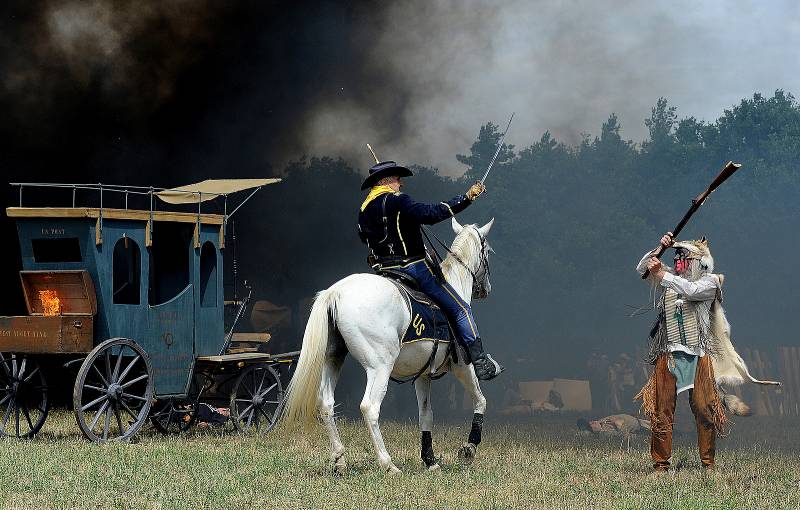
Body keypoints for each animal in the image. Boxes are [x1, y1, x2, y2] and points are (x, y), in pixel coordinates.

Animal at [282, 216, 494, 474]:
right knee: (370, 407)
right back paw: (387, 463)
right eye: (487, 251)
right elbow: (480, 400)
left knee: (326, 404)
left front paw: (430, 460)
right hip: (380, 367)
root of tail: (335, 293)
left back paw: (340, 459)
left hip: (332, 359)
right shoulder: (463, 366)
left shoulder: (423, 375)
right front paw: (469, 448)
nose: (485, 289)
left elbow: (426, 415)